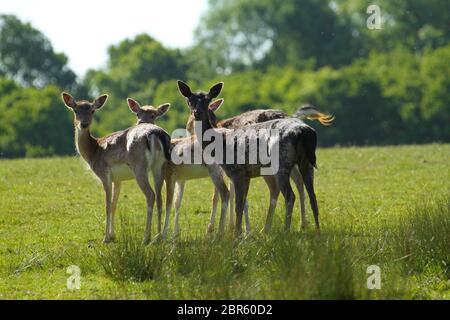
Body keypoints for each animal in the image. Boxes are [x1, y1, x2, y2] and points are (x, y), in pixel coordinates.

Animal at [61, 94, 171, 244]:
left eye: (92, 111)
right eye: (75, 110)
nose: (83, 124)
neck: (93, 151)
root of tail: (156, 133)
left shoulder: (104, 173)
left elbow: (107, 205)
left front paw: (105, 238)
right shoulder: (117, 179)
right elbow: (114, 204)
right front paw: (113, 235)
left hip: (139, 166)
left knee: (151, 195)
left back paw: (146, 238)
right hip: (159, 166)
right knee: (160, 197)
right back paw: (158, 237)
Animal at [176, 81, 320, 236]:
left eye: (208, 100)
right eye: (189, 100)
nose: (197, 112)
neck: (219, 143)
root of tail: (303, 132)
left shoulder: (236, 171)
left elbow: (237, 205)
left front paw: (234, 234)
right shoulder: (246, 174)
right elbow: (241, 202)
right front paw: (239, 233)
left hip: (281, 163)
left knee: (290, 195)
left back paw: (286, 231)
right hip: (307, 162)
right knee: (312, 195)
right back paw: (317, 230)